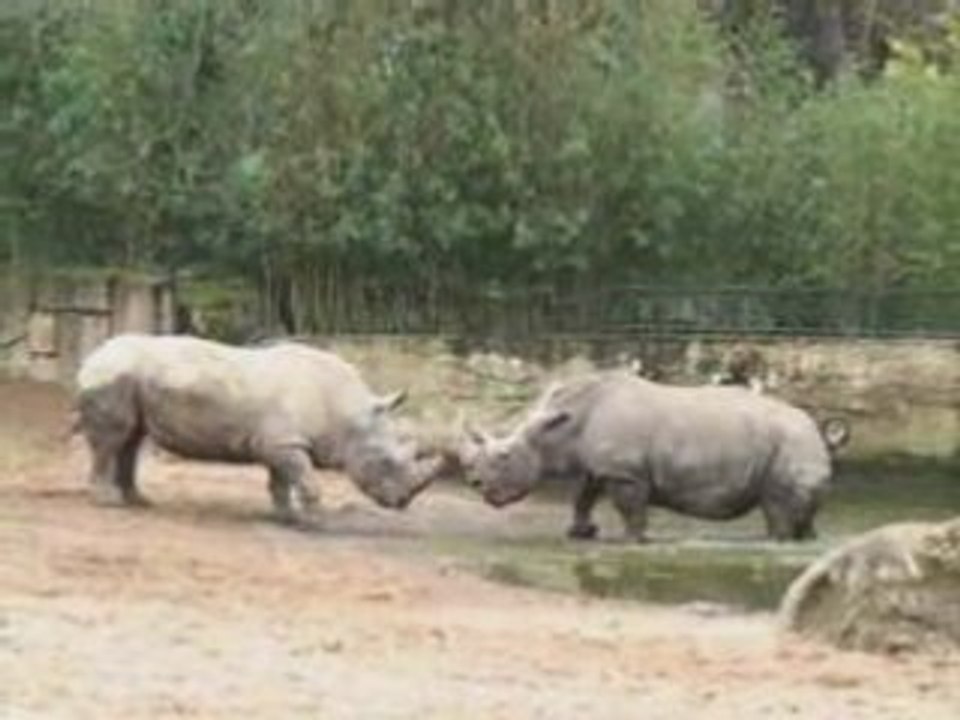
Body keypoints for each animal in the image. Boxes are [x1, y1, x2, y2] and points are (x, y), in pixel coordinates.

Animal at [74, 334, 440, 522]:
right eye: (387, 462)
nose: (401, 502)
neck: (348, 415)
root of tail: (91, 355)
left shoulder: (281, 442)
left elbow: (280, 480)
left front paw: (285, 516)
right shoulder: (284, 442)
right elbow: (304, 478)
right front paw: (317, 518)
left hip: (129, 377)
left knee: (131, 439)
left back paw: (138, 501)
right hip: (113, 376)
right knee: (113, 440)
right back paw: (108, 503)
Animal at [459, 372, 850, 542]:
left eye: (504, 456)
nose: (475, 482)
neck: (561, 428)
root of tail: (818, 432)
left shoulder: (624, 472)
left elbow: (630, 507)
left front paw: (633, 540)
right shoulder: (601, 467)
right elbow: (583, 495)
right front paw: (580, 533)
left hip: (790, 444)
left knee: (777, 505)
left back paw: (773, 542)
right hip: (793, 444)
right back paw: (805, 540)